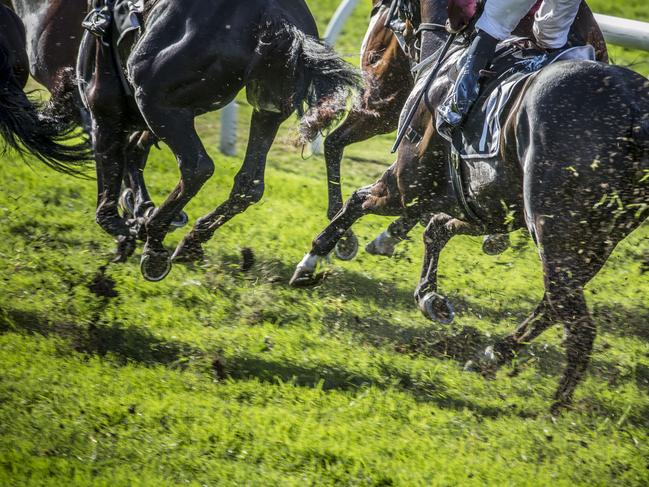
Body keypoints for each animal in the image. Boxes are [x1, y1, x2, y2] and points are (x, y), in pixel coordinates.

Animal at [292, 0, 648, 412]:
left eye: (387, 10)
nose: (370, 63)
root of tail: (634, 116)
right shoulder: (488, 206)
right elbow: (436, 228)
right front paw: (429, 295)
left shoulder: (407, 185)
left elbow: (359, 201)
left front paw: (313, 260)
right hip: (597, 238)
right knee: (554, 302)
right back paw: (491, 356)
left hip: (555, 228)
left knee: (575, 319)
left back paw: (555, 407)